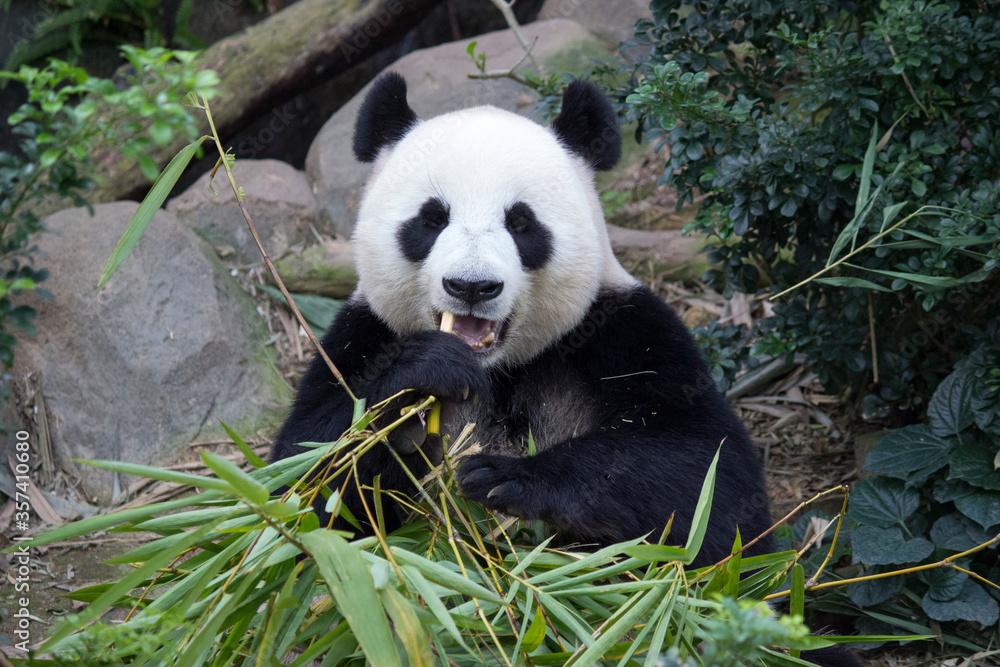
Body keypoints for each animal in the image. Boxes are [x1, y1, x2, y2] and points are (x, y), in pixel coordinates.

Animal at [271, 73, 861, 667]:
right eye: (431, 219)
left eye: (521, 222)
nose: (472, 286)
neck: (499, 369)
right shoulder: (361, 336)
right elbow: (301, 493)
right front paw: (426, 371)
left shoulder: (623, 332)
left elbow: (711, 490)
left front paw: (507, 477)